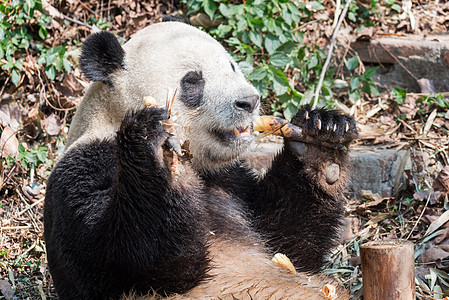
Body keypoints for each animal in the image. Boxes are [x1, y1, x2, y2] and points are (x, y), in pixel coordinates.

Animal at [43, 19, 356, 300]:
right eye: (193, 80)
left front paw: (321, 140)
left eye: (231, 67)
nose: (249, 101)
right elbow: (127, 259)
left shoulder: (230, 180)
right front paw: (157, 154)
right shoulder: (85, 166)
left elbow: (289, 246)